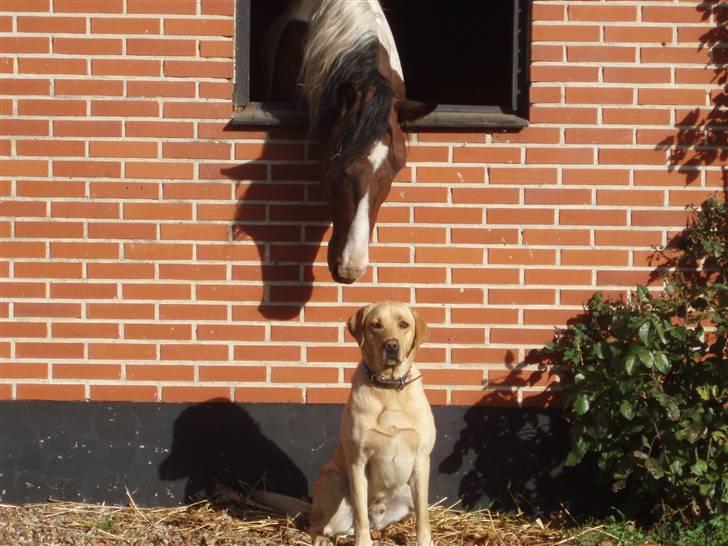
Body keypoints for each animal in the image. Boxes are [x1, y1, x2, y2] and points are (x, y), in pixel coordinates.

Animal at [308, 302, 436, 544]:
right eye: (376, 325)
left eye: (403, 324)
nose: (391, 345)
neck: (390, 387)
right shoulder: (357, 461)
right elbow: (360, 515)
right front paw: (363, 541)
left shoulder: (422, 460)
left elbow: (423, 516)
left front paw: (425, 541)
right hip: (333, 478)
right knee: (322, 524)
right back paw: (321, 537)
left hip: (406, 491)